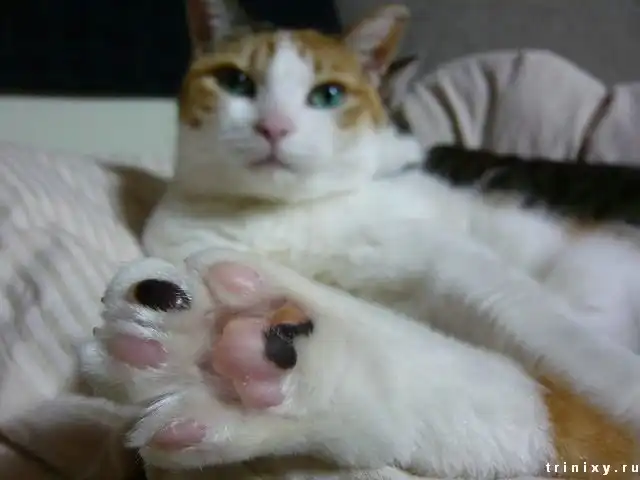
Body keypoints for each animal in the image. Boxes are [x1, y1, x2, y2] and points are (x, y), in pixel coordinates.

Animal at [79, 0, 640, 478]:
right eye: (236, 82)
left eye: (328, 95)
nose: (274, 126)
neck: (275, 215)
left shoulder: (454, 263)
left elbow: (544, 334)